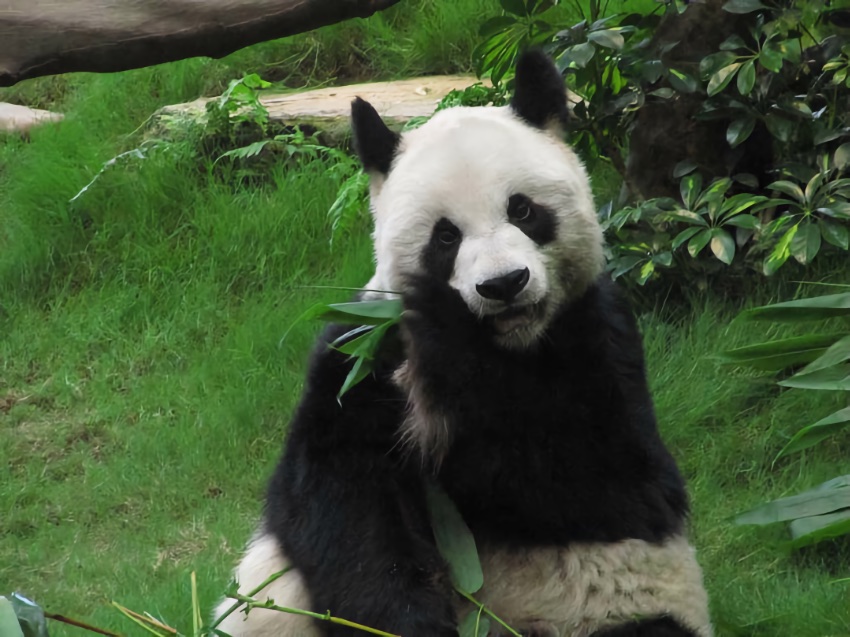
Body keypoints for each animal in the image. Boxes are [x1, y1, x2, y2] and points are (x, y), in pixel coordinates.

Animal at [214, 51, 713, 637]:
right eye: (445, 236)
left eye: (523, 210)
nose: (504, 284)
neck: (508, 345)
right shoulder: (363, 360)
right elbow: (341, 499)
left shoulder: (601, 340)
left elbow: (604, 483)